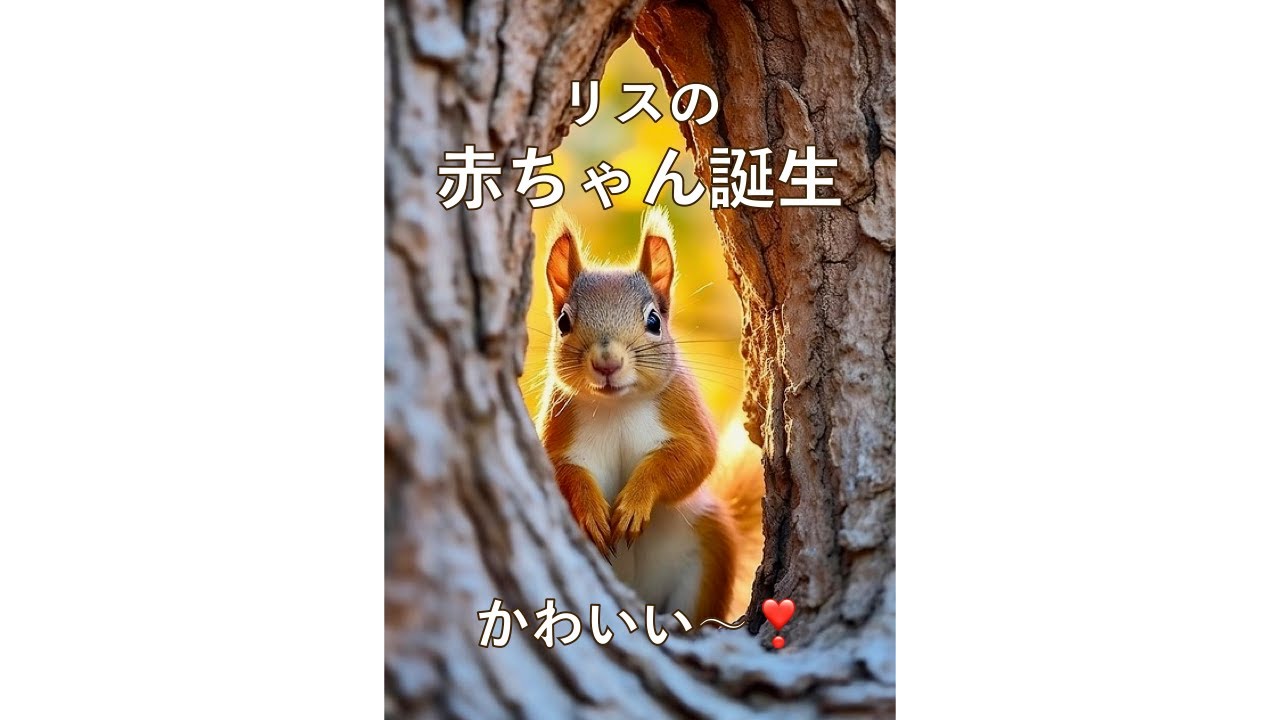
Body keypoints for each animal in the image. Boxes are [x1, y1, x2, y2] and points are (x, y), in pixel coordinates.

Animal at [536, 207, 763, 624]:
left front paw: (634, 503)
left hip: (707, 553)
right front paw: (591, 510)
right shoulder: (560, 423)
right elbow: (563, 472)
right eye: (564, 322)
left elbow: (691, 459)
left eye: (654, 320)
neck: (618, 407)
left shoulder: (681, 410)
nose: (606, 363)